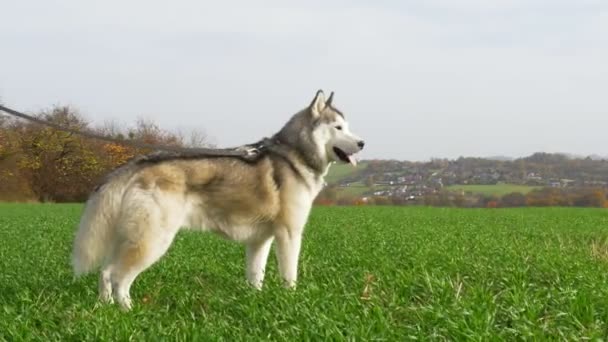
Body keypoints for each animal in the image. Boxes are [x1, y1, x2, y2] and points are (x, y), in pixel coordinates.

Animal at [71, 90, 366, 310]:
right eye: (338, 127)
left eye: (348, 127)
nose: (362, 143)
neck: (295, 155)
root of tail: (138, 164)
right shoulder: (289, 234)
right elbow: (290, 275)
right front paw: (292, 301)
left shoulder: (260, 240)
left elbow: (255, 276)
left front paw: (255, 301)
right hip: (153, 241)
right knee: (118, 277)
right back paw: (128, 310)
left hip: (130, 237)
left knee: (105, 272)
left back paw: (105, 308)